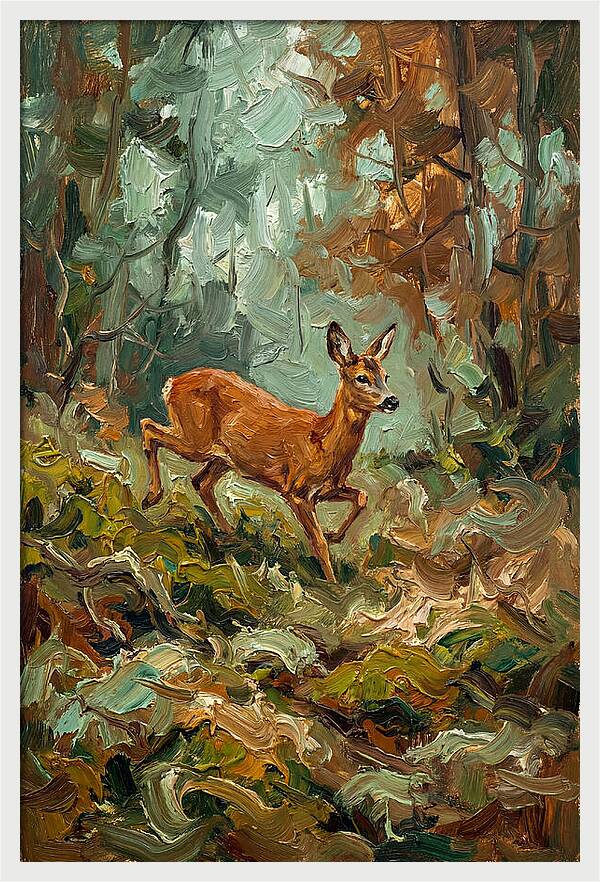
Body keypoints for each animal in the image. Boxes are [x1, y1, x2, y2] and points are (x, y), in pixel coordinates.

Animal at [140, 321, 398, 582]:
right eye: (362, 378)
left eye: (386, 376)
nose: (392, 401)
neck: (323, 444)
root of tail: (171, 383)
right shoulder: (297, 490)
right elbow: (319, 543)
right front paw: (332, 583)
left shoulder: (330, 488)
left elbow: (362, 497)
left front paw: (334, 535)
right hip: (196, 439)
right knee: (148, 427)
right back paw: (151, 497)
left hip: (223, 456)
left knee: (199, 481)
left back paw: (230, 534)